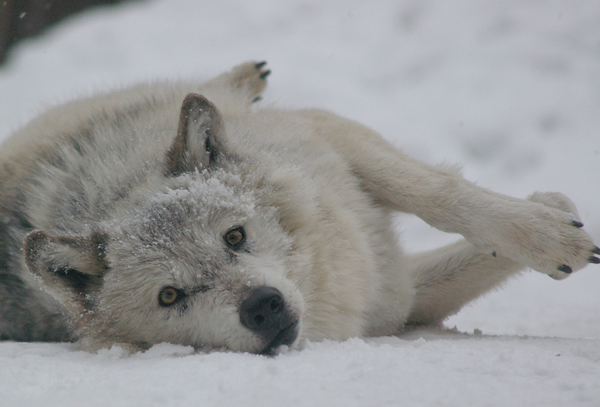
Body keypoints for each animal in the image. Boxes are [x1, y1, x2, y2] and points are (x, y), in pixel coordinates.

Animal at [0, 61, 596, 354]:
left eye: (234, 237)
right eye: (170, 296)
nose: (262, 307)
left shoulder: (329, 138)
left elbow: (441, 197)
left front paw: (551, 228)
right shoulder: (397, 301)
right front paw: (555, 226)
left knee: (203, 97)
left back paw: (238, 80)